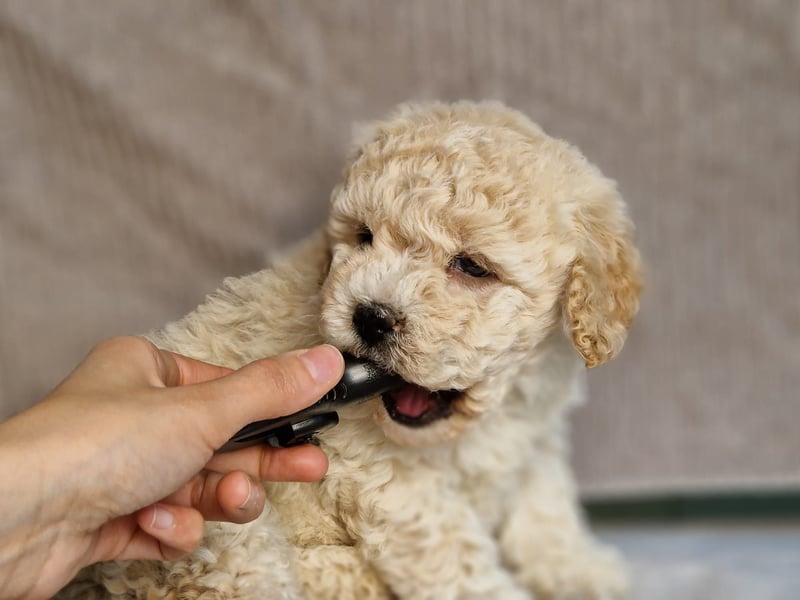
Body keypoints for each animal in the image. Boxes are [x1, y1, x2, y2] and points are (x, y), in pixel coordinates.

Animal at [65, 103, 648, 600]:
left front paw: (584, 571)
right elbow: (459, 563)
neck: (481, 420)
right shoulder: (394, 482)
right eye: (364, 236)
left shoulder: (535, 435)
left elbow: (544, 513)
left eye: (473, 267)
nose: (371, 316)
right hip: (225, 546)